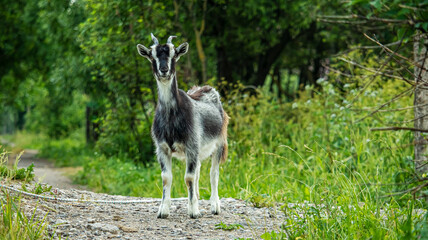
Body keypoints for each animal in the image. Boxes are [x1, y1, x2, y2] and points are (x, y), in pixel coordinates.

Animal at [138, 34, 231, 219]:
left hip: (218, 143)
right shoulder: (162, 148)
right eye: (152, 56)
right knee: (198, 173)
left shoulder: (191, 145)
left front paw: (194, 212)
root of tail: (207, 88)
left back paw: (215, 206)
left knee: (213, 174)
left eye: (174, 55)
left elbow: (188, 178)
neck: (172, 117)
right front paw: (163, 210)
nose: (164, 69)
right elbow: (166, 177)